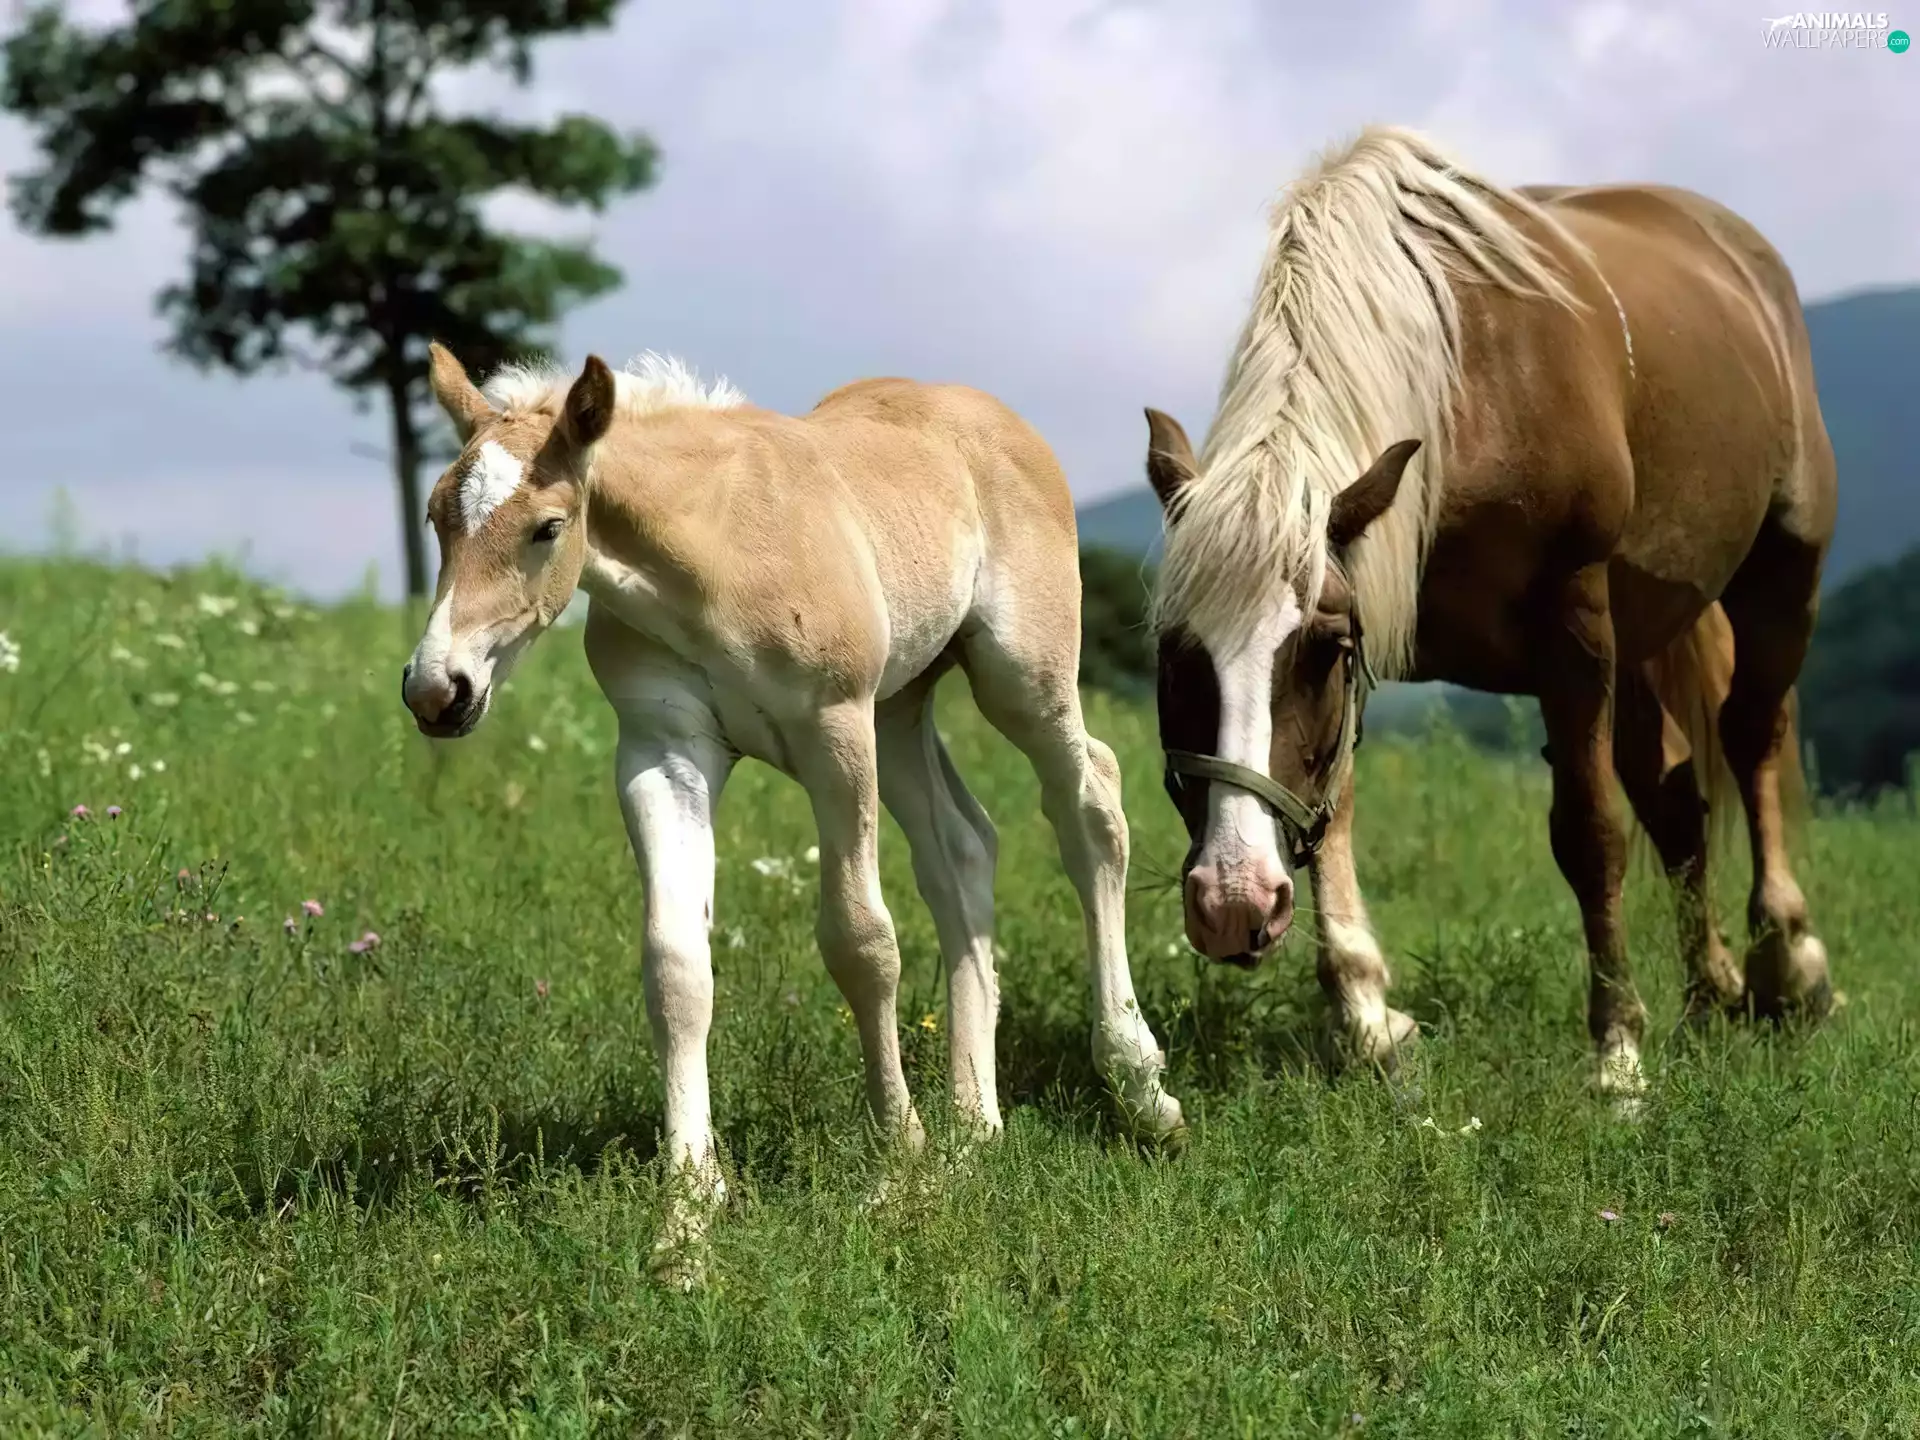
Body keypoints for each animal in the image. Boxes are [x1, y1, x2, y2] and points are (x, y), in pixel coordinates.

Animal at [400, 343, 1185, 1276]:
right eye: (436, 517)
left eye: (547, 528)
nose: (437, 690)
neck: (712, 557)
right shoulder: (663, 753)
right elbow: (675, 967)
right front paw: (686, 1220)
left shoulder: (833, 731)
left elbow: (861, 942)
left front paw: (899, 1167)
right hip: (902, 705)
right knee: (963, 849)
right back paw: (973, 1127)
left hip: (1017, 677)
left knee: (1090, 803)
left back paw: (1138, 1085)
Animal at [1142, 126, 1836, 1106]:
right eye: (1175, 655)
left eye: (1319, 648)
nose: (1232, 902)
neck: (1461, 394)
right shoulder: (1376, 613)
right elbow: (1331, 802)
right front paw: (1367, 1016)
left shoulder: (1570, 622)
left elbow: (1589, 832)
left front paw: (1617, 1052)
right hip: (1644, 631)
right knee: (1676, 799)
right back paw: (1711, 992)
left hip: (1782, 570)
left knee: (1750, 735)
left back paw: (1789, 962)